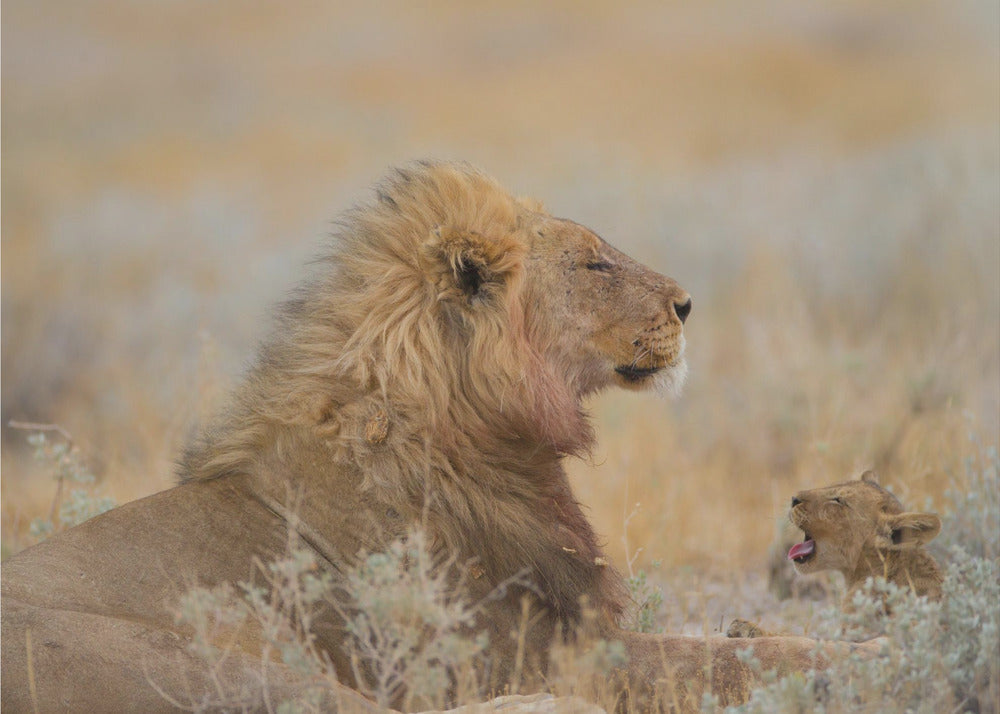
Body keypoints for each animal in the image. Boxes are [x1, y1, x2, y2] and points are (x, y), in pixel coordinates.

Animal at [2, 162, 869, 713]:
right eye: (592, 264)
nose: (687, 304)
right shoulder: (533, 647)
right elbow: (719, 660)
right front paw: (858, 656)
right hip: (249, 671)